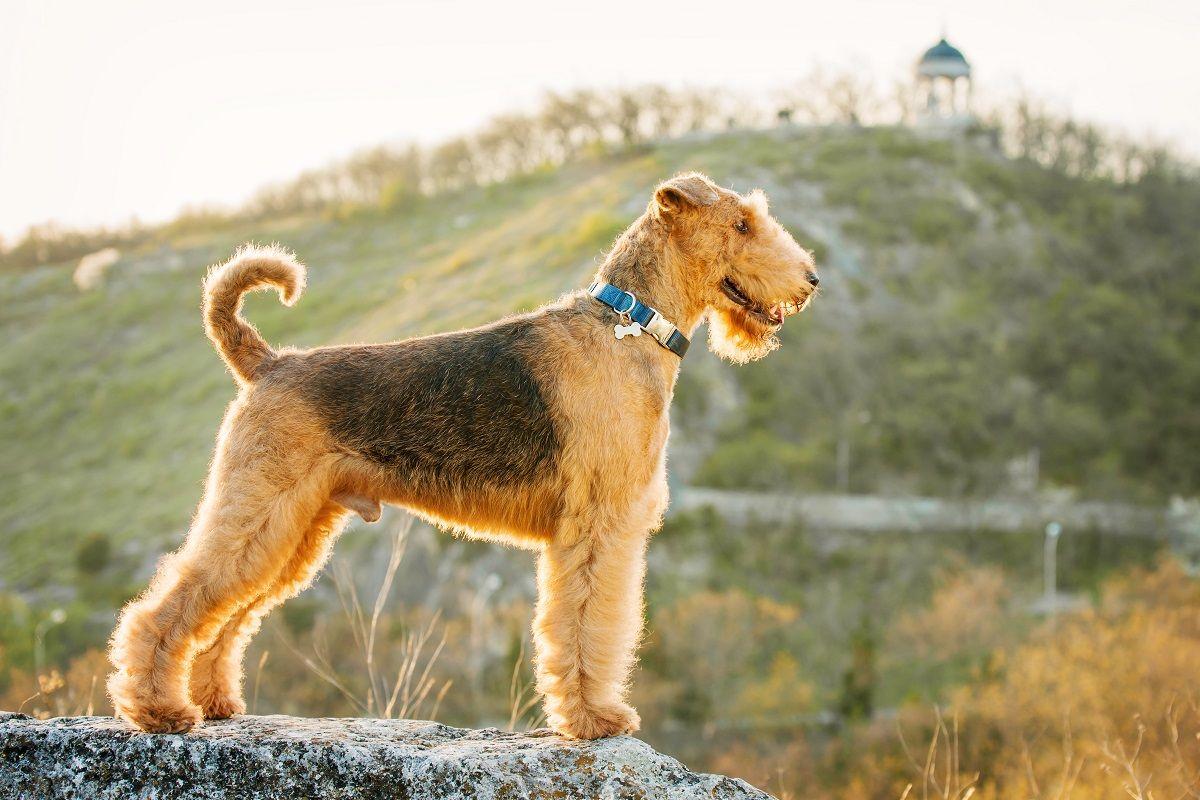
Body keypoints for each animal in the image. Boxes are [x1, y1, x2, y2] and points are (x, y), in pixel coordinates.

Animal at [108, 172, 820, 743]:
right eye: (741, 224)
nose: (810, 280)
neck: (631, 326)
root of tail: (266, 362)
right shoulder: (597, 528)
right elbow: (587, 624)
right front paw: (595, 719)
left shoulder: (605, 528)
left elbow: (587, 624)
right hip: (260, 508)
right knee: (166, 605)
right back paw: (158, 710)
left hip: (294, 530)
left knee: (227, 615)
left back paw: (216, 702)